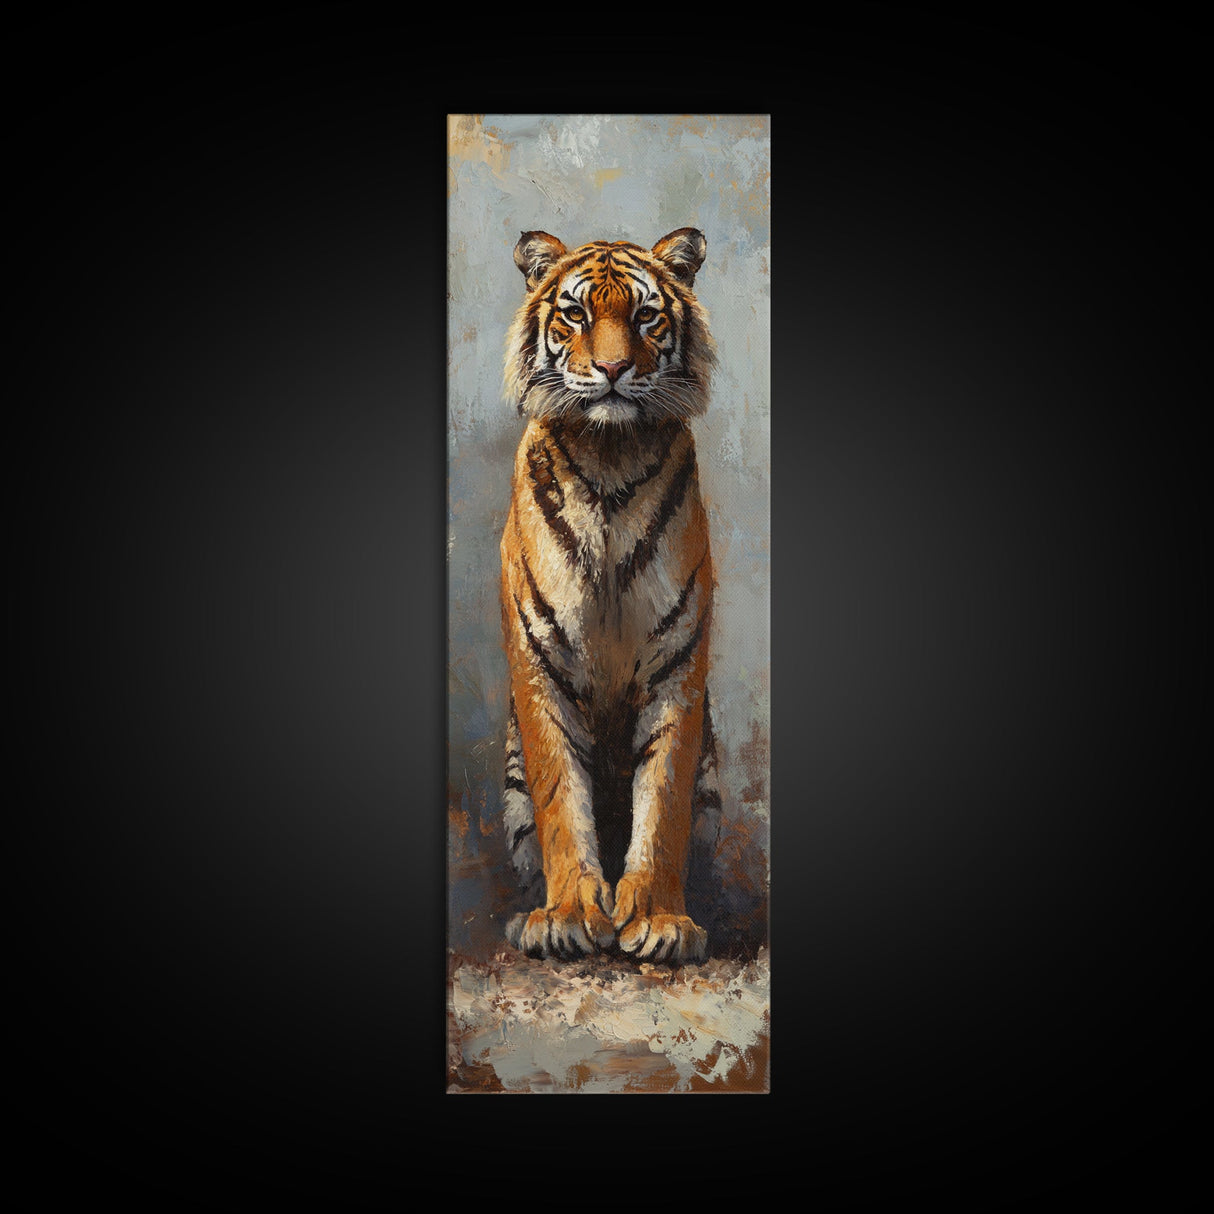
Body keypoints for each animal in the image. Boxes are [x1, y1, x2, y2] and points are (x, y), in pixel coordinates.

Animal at [498, 227, 723, 965]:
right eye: (575, 314)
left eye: (647, 316)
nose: (615, 369)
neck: (610, 456)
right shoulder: (539, 657)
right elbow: (560, 799)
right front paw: (567, 915)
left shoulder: (679, 661)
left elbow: (664, 801)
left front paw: (657, 920)